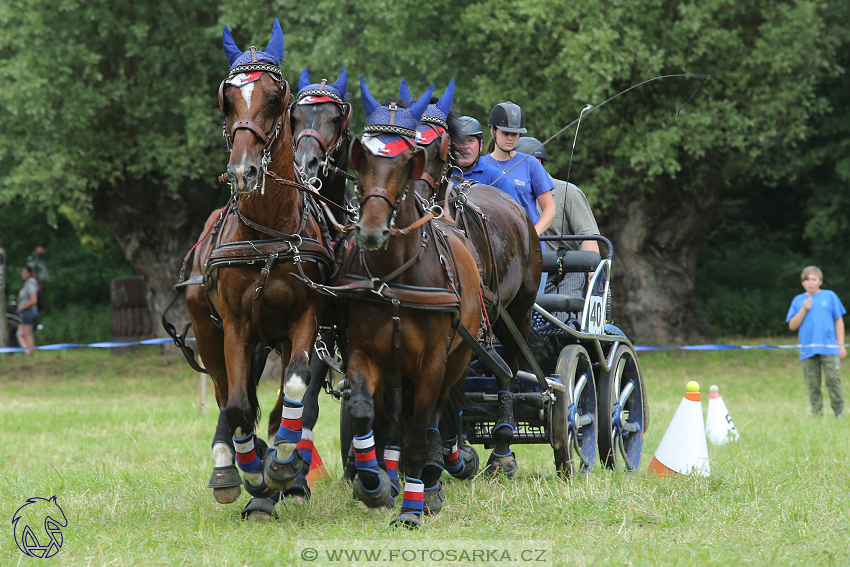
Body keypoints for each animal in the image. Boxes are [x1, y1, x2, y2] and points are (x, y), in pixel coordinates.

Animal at [182, 21, 332, 520]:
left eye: (273, 97)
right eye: (227, 99)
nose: (243, 171)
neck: (267, 230)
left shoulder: (306, 317)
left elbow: (296, 386)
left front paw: (284, 465)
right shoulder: (235, 325)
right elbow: (237, 406)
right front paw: (251, 477)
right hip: (211, 333)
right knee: (229, 394)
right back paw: (233, 469)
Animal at [322, 77, 484, 524]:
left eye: (408, 159)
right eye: (362, 157)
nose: (372, 230)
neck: (394, 276)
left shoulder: (432, 362)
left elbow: (419, 432)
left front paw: (414, 506)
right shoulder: (364, 352)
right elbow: (366, 412)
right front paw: (373, 483)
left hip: (457, 358)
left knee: (431, 420)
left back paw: (428, 480)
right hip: (396, 365)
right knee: (394, 418)